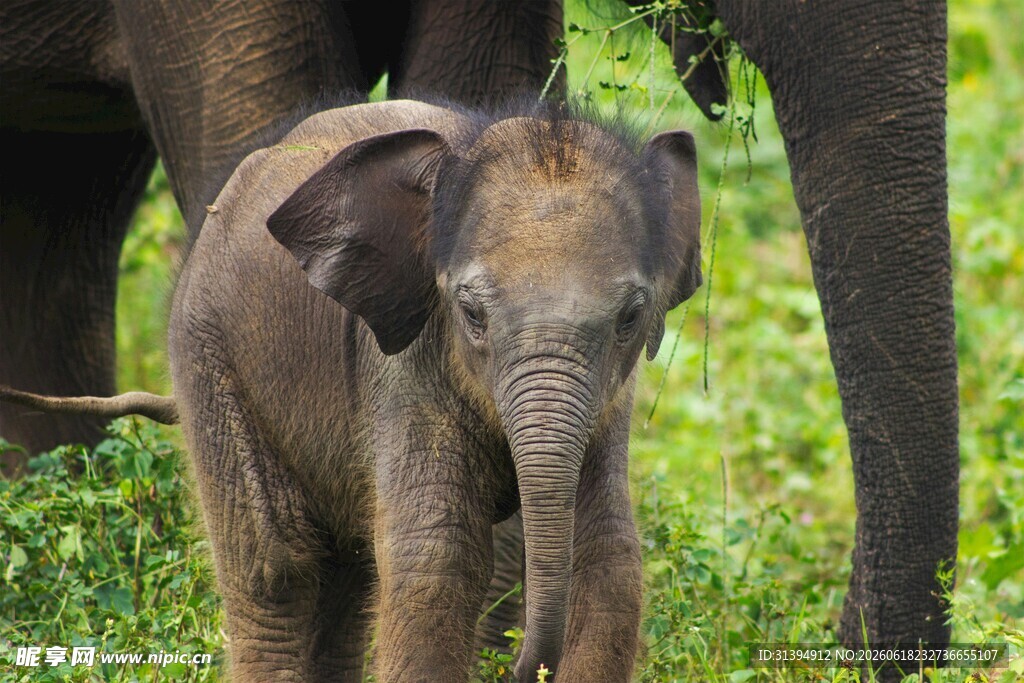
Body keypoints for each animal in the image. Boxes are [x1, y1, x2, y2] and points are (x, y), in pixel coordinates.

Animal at [1, 0, 958, 676]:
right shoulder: (404, 370)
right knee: (281, 571)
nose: (527, 663)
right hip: (210, 358)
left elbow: (610, 566)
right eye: (470, 313)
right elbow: (433, 561)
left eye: (632, 318)